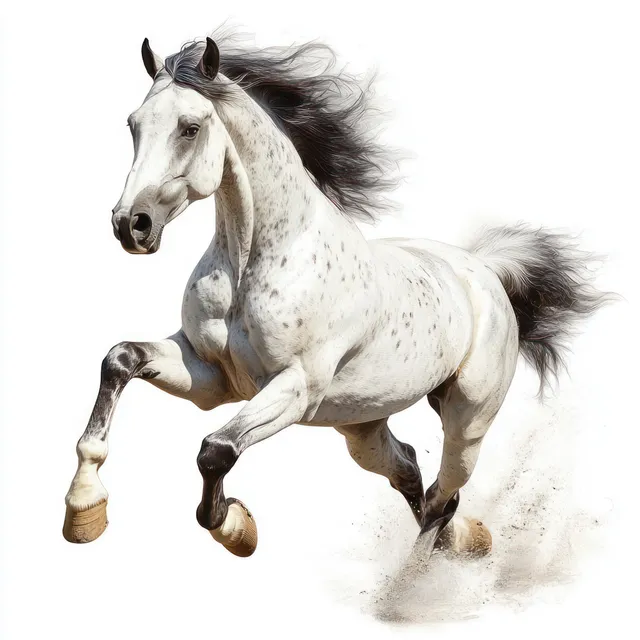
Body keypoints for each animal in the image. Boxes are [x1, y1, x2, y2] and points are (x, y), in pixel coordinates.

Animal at [63, 32, 611, 563]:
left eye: (190, 128)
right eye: (133, 125)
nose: (131, 225)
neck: (253, 262)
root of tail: (485, 271)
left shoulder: (295, 388)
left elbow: (215, 449)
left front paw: (236, 528)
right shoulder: (210, 377)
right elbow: (120, 359)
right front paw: (84, 509)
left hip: (467, 420)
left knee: (444, 494)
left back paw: (414, 579)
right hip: (360, 426)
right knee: (412, 471)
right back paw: (464, 545)